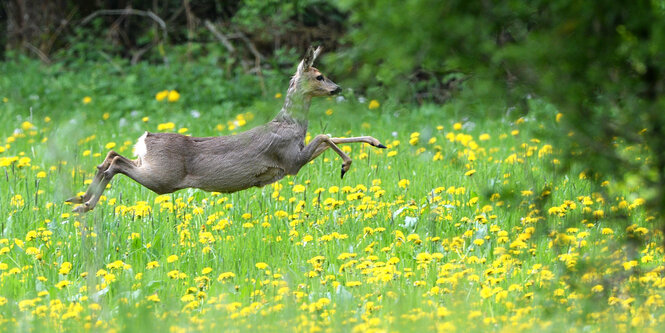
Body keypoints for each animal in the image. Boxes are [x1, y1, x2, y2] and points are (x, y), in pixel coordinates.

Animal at [65, 46, 386, 213]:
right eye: (319, 76)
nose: (337, 88)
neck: (290, 124)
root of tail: (145, 138)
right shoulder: (289, 161)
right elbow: (324, 135)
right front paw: (346, 164)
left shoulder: (293, 159)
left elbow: (329, 136)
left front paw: (377, 142)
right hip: (163, 177)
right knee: (116, 162)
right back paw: (84, 204)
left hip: (152, 167)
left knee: (112, 155)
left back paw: (78, 199)